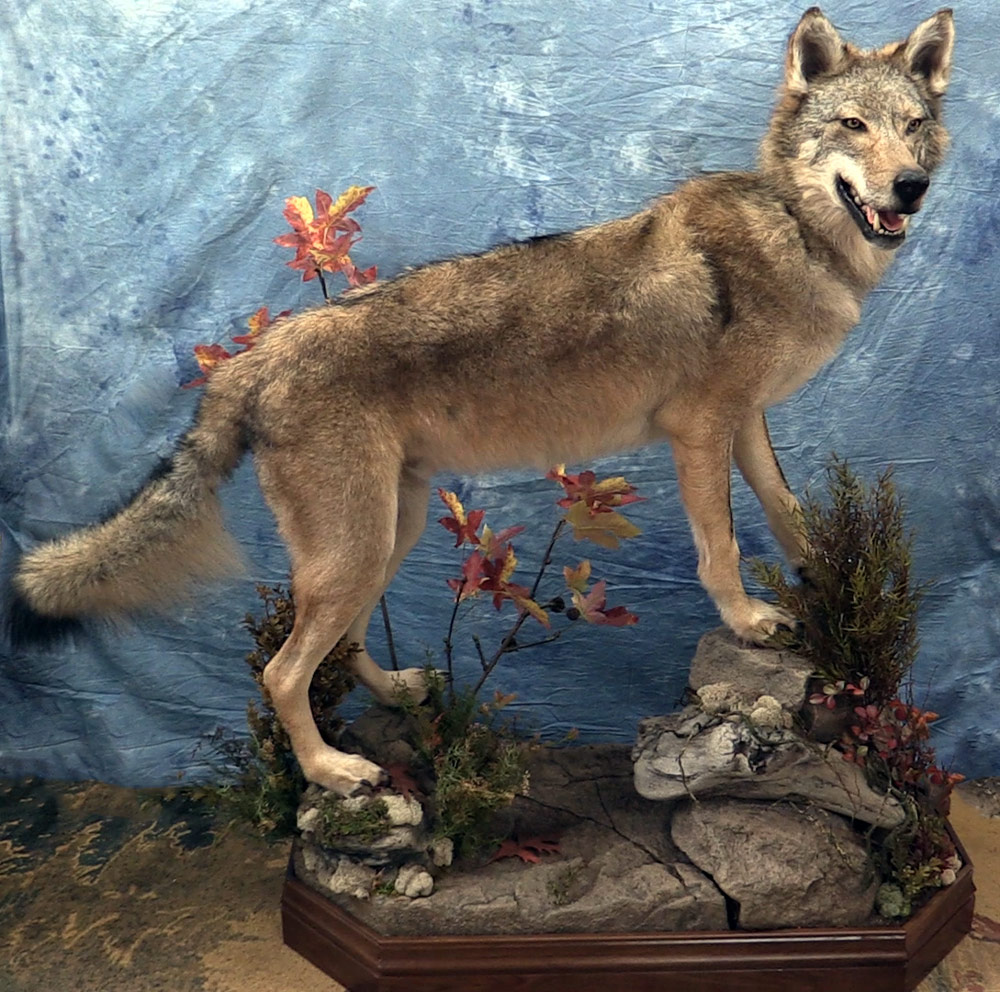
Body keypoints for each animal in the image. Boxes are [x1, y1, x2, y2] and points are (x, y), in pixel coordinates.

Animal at [9, 9, 954, 796]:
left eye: (912, 125)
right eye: (852, 125)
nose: (911, 186)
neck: (796, 237)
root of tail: (248, 362)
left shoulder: (748, 423)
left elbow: (789, 515)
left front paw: (827, 587)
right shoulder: (699, 432)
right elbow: (719, 548)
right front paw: (752, 621)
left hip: (389, 534)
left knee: (346, 643)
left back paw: (400, 693)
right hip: (357, 549)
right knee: (281, 672)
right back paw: (332, 772)